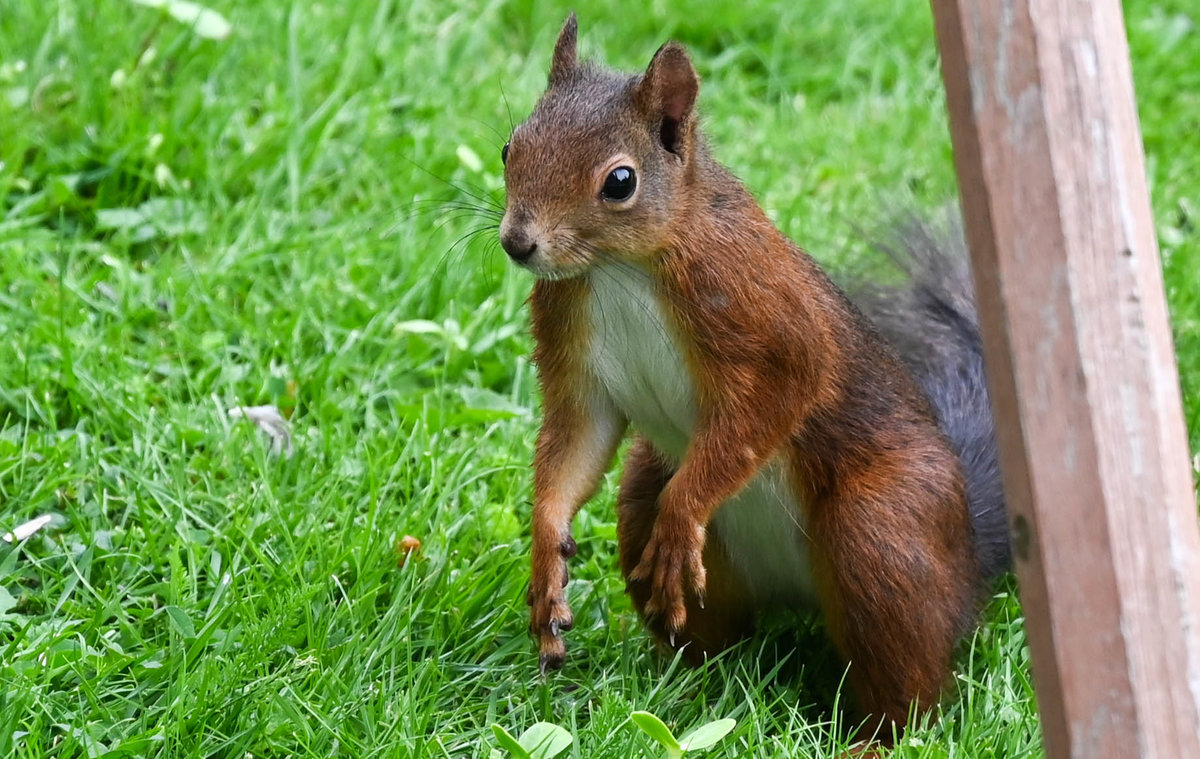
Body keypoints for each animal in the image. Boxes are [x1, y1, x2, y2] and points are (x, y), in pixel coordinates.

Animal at [498, 13, 1010, 738]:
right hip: (647, 495)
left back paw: (869, 740)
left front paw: (685, 510)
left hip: (882, 531)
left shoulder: (765, 316)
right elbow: (576, 441)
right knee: (711, 632)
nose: (518, 242)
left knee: (910, 683)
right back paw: (683, 692)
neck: (620, 268)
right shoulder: (574, 346)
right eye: (511, 147)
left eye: (619, 182)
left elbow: (773, 402)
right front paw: (546, 555)